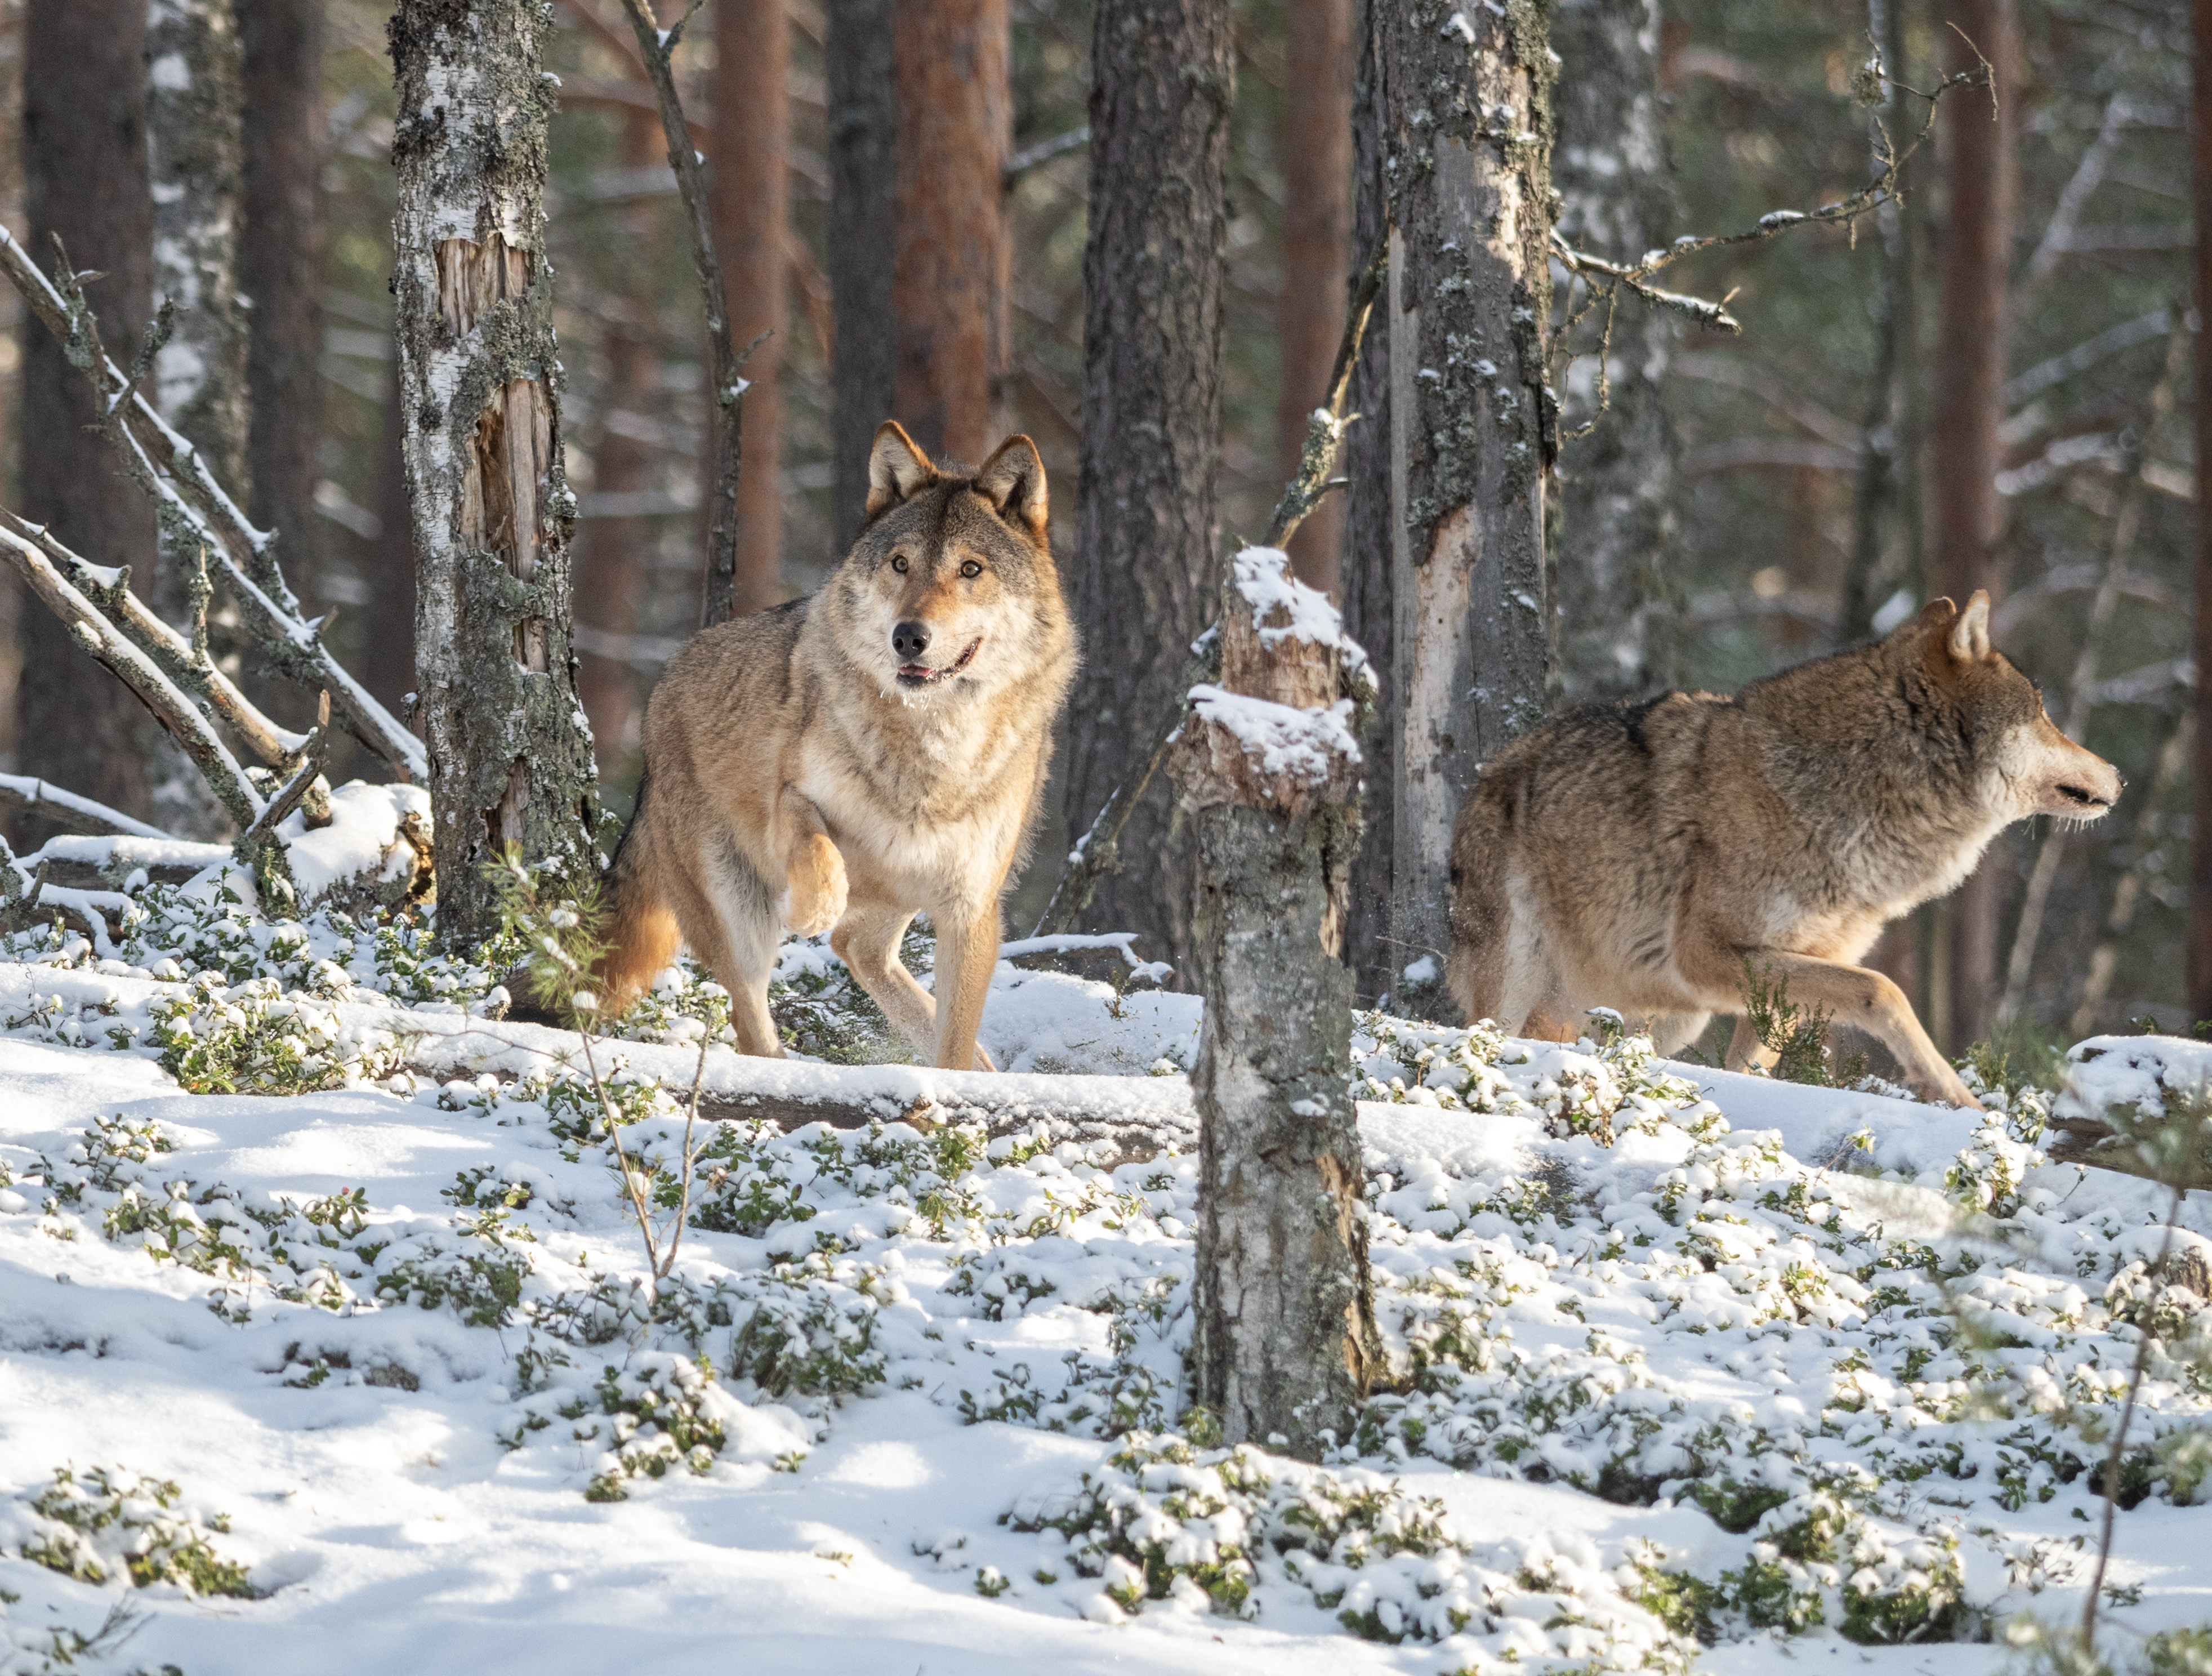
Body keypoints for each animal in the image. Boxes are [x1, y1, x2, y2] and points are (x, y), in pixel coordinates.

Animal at [588, 426, 1071, 1070]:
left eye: (971, 569)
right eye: (900, 564)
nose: (909, 637)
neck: (930, 752)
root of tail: (660, 691)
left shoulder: (971, 911)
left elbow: (953, 1045)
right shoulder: (792, 799)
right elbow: (818, 854)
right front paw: (810, 908)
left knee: (861, 954)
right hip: (736, 914)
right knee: (757, 1022)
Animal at [1442, 592, 2115, 1114]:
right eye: (2043, 715)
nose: (2118, 775)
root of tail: (1485, 775)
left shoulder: (1787, 979)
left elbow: (1751, 1066)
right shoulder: (1706, 955)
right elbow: (1883, 990)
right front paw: (1954, 1094)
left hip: (1665, 1019)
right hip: (1525, 986)